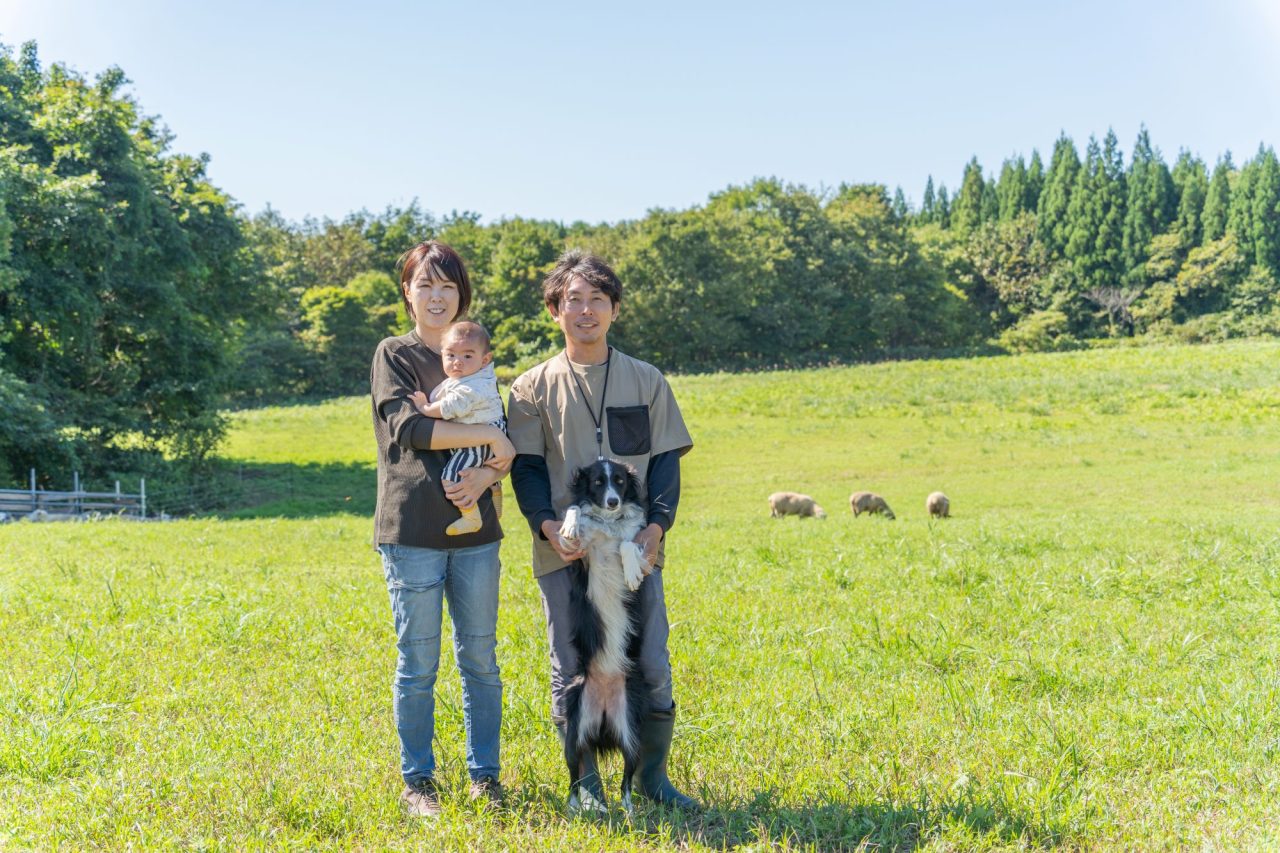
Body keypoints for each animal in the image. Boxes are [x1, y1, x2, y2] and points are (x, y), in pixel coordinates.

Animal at [558, 458, 650, 809]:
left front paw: (633, 571)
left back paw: (630, 810)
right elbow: (574, 511)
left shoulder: (633, 538)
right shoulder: (579, 555)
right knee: (574, 775)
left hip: (632, 731)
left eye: (620, 481)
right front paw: (569, 525)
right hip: (573, 731)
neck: (609, 522)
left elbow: (627, 543)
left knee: (627, 778)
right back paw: (575, 808)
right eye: (598, 482)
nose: (612, 502)